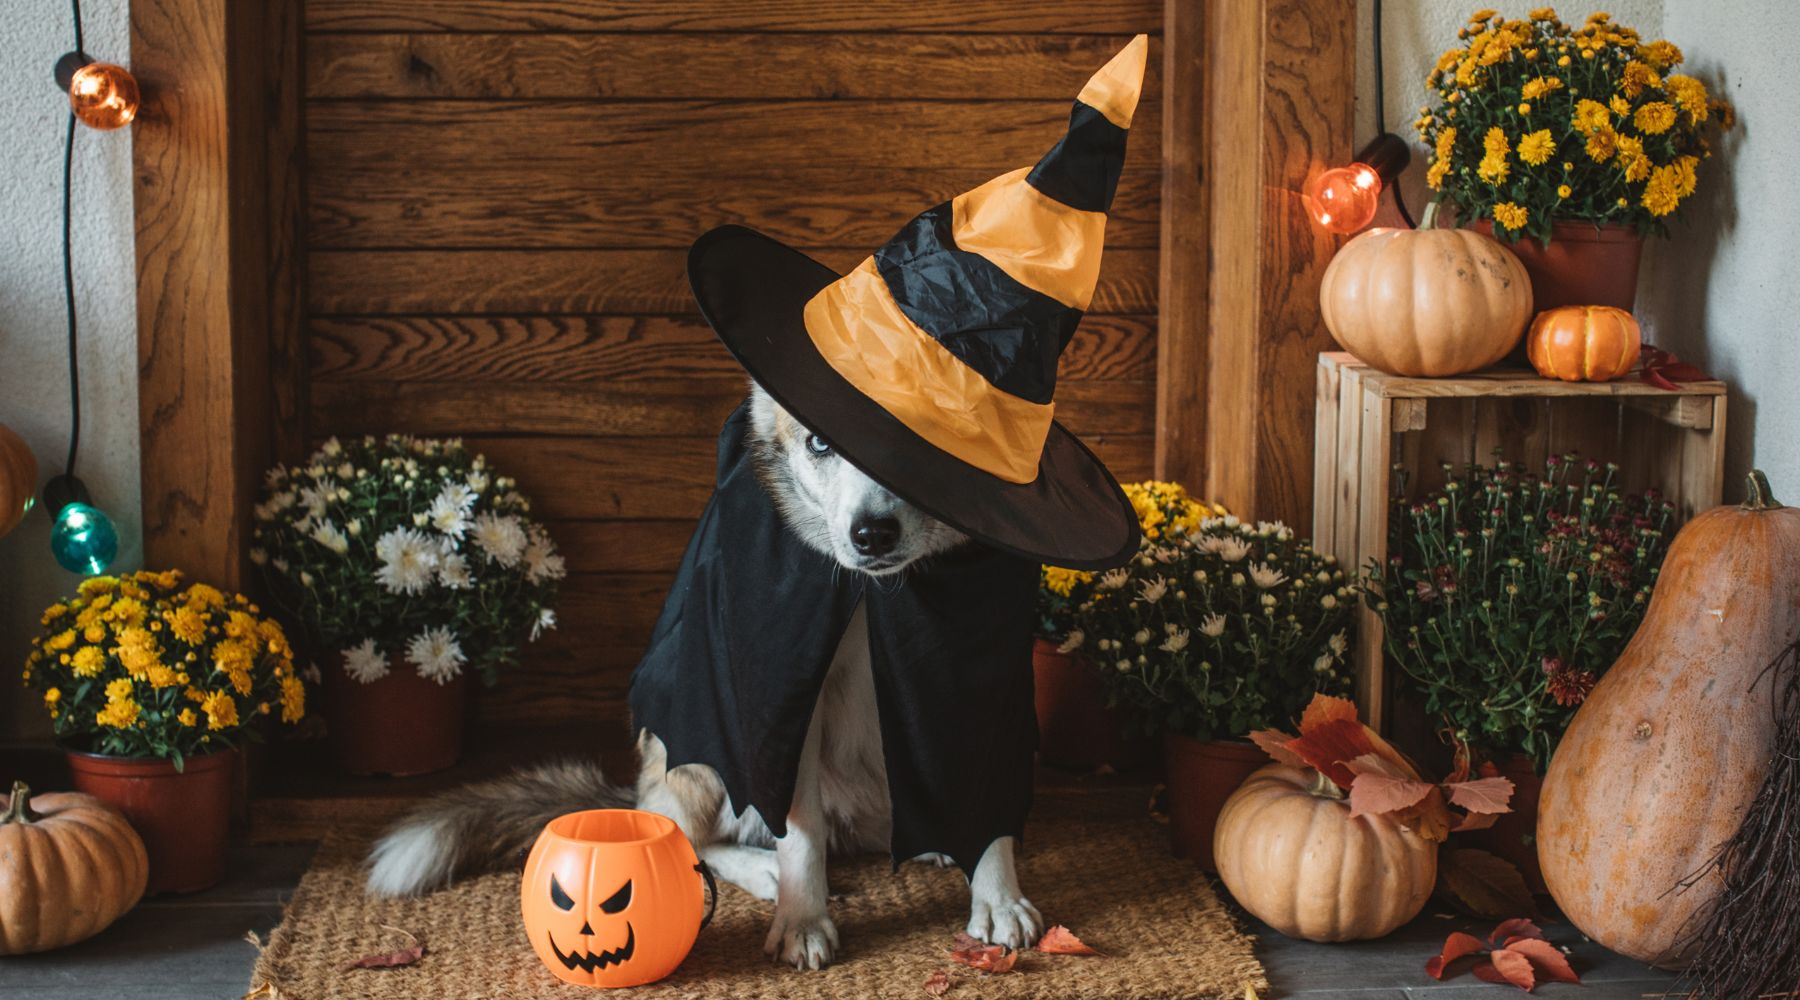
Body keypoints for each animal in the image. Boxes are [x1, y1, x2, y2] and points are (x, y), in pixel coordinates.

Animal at [365, 383, 1044, 971]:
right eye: (820, 443)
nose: (871, 535)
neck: (875, 593)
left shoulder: (986, 677)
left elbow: (991, 808)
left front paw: (996, 895)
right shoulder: (779, 700)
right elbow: (797, 832)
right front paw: (803, 921)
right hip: (695, 756)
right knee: (690, 833)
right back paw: (763, 868)